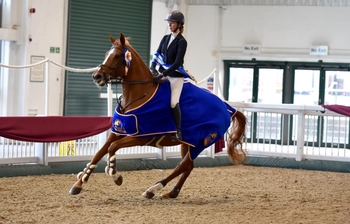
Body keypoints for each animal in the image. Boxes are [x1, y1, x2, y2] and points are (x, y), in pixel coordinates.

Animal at [69, 32, 249, 199]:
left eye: (117, 56)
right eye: (107, 53)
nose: (97, 76)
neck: (139, 95)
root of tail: (227, 107)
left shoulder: (141, 137)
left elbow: (112, 148)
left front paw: (115, 175)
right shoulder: (117, 131)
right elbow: (99, 152)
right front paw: (79, 184)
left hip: (201, 141)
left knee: (182, 165)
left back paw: (153, 189)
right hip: (188, 142)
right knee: (188, 166)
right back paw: (172, 192)